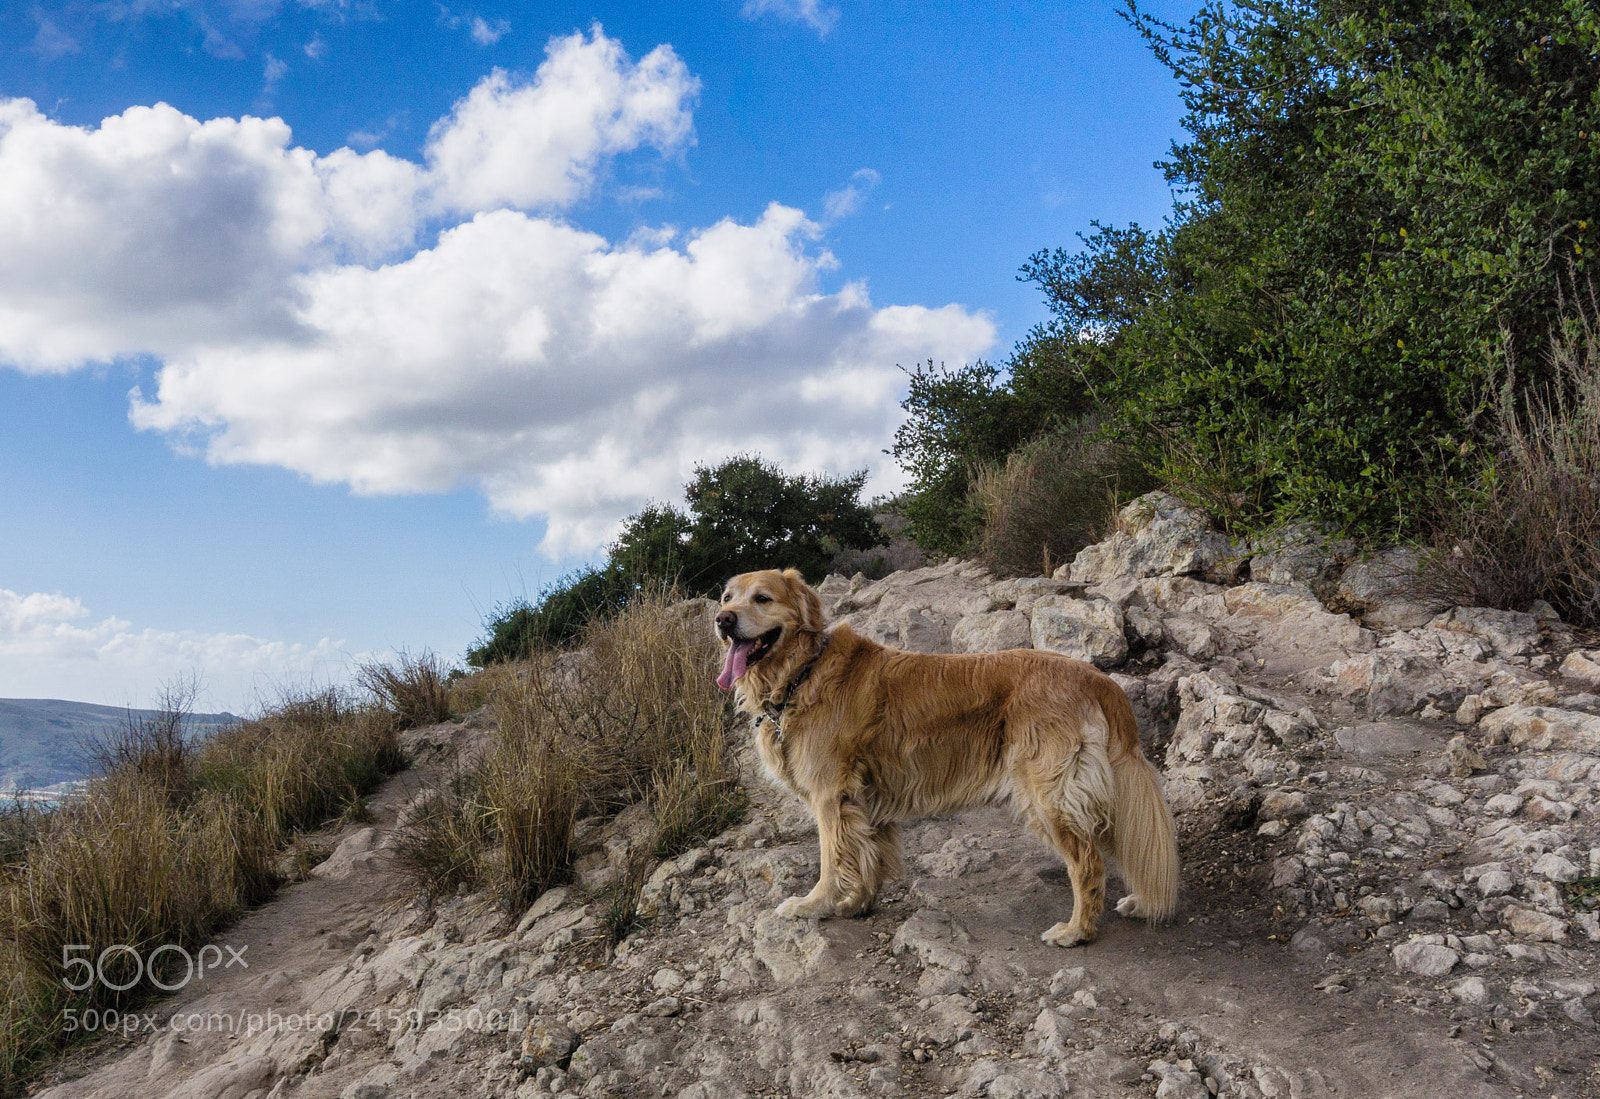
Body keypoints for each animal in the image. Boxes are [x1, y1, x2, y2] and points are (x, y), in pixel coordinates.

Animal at [713, 566, 1177, 947]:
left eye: (762, 598)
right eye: (726, 597)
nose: (723, 620)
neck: (803, 672)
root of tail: (1095, 676)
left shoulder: (831, 796)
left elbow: (832, 860)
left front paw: (814, 905)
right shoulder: (863, 800)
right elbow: (867, 856)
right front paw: (856, 904)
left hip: (1049, 796)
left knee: (1087, 863)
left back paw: (1077, 930)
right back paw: (1136, 901)